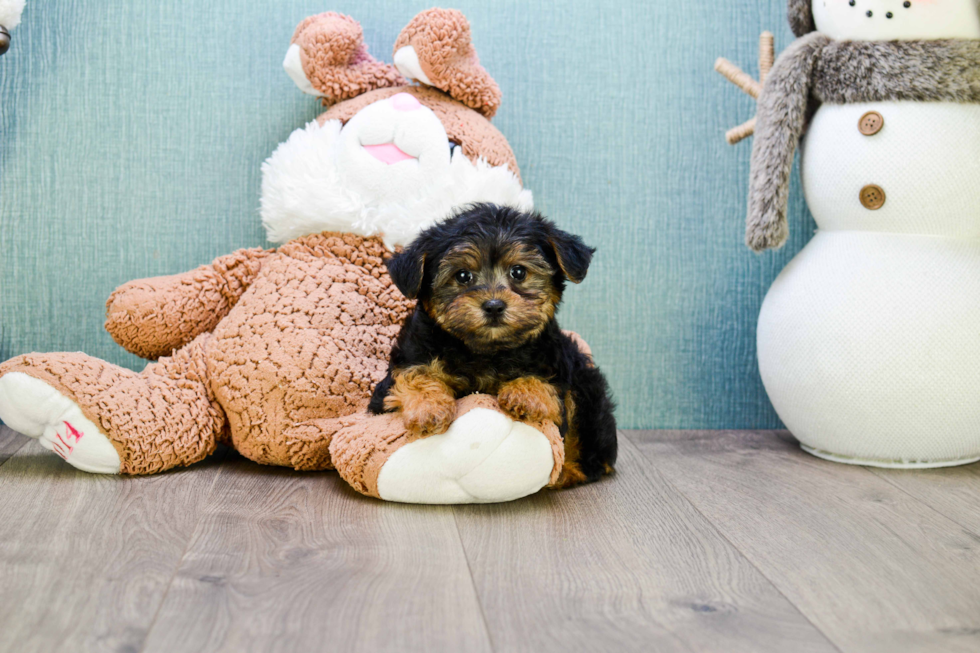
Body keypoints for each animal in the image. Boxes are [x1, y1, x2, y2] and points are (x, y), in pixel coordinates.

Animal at [372, 202, 616, 484]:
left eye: (518, 272)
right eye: (463, 276)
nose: (494, 306)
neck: (486, 350)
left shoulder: (555, 364)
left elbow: (550, 389)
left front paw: (525, 394)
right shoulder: (407, 360)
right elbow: (414, 375)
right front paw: (429, 408)